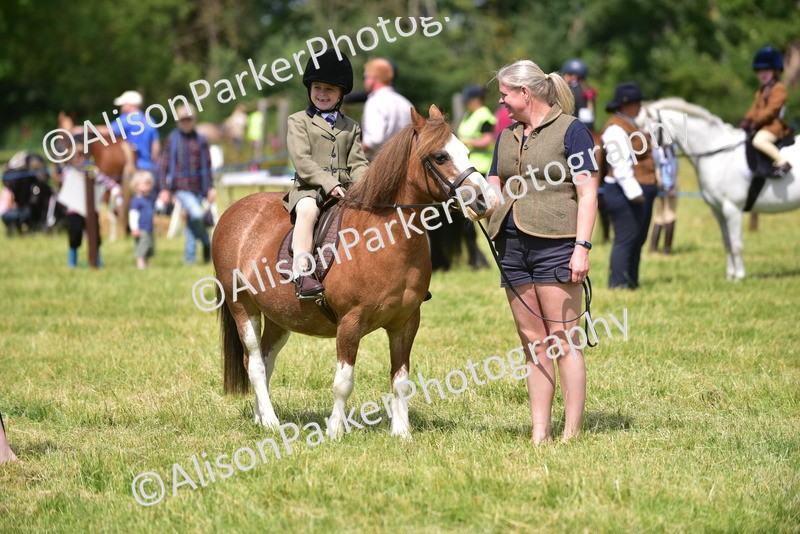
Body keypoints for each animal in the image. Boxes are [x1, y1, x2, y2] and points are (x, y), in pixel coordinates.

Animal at [213, 105, 492, 439]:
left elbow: (400, 380)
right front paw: (335, 431)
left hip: (280, 317)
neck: (382, 240)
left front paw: (402, 433)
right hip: (243, 307)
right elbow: (343, 383)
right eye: (440, 157)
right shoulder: (350, 322)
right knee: (254, 363)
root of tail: (234, 211)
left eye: (466, 151)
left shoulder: (406, 323)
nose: (485, 200)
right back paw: (270, 421)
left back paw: (259, 416)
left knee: (266, 361)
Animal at [640, 98, 800, 280]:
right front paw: (730, 276)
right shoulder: (718, 210)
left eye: (646, 131)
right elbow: (727, 243)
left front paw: (739, 277)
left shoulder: (732, 209)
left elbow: (736, 244)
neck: (719, 156)